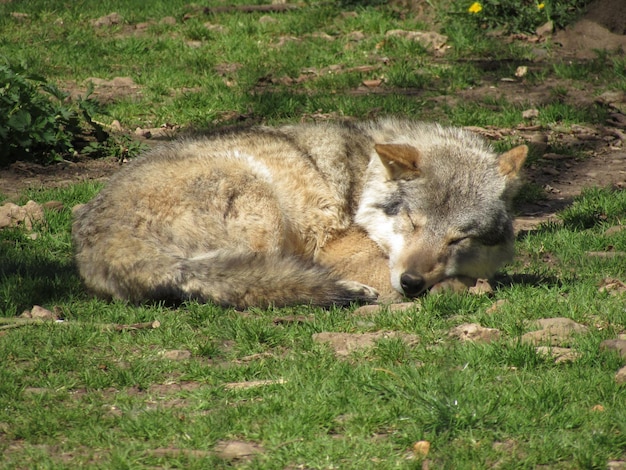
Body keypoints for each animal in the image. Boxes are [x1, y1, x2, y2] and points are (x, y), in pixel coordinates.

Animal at [70, 118, 524, 308]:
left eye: (458, 238)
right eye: (412, 224)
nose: (412, 282)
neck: (360, 178)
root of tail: (101, 237)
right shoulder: (338, 248)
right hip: (261, 200)